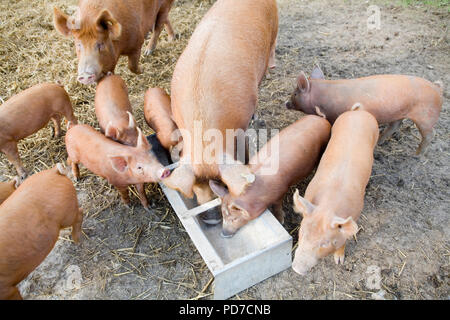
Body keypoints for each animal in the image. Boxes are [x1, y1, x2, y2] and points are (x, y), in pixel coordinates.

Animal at [284, 68, 442, 156]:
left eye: (295, 94)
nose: (286, 103)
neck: (323, 96)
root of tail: (437, 88)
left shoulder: (335, 115)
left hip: (425, 118)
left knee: (431, 134)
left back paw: (416, 155)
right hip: (400, 112)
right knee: (395, 126)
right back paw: (380, 142)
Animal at [292, 110, 380, 276]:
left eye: (325, 243)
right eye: (302, 232)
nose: (297, 269)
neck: (328, 206)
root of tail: (359, 111)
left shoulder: (356, 213)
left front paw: (339, 261)